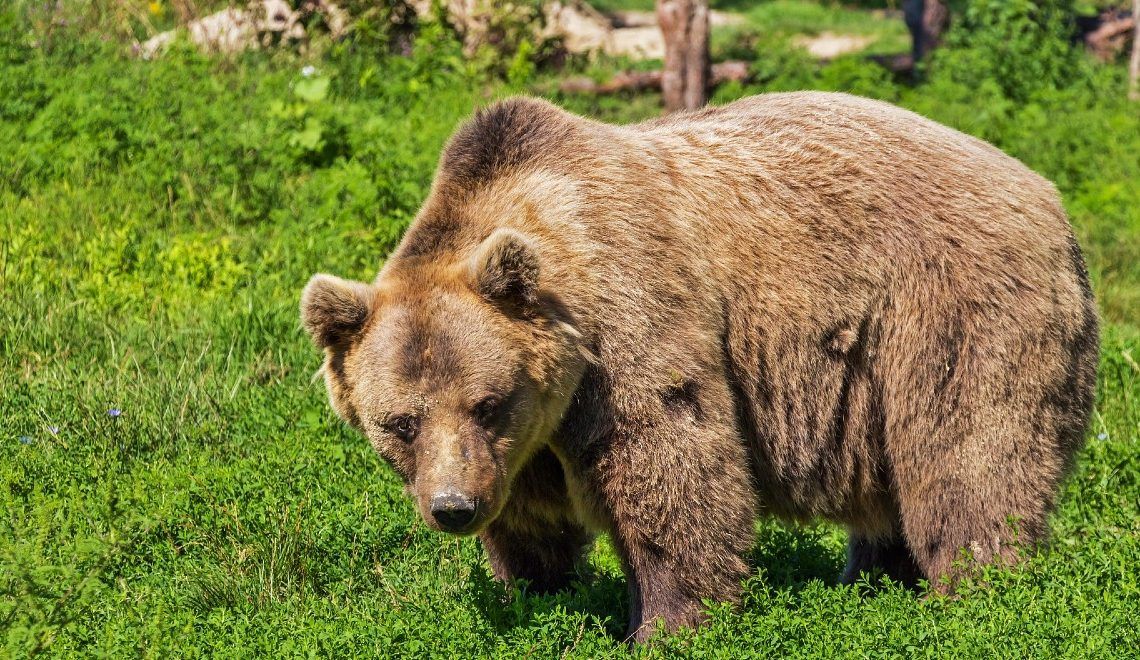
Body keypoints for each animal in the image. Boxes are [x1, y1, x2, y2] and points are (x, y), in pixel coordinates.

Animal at [298, 91, 1098, 638]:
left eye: (487, 402)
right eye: (399, 422)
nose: (453, 507)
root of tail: (1049, 195)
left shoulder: (628, 323)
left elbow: (672, 464)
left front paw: (666, 623)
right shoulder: (524, 445)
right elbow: (530, 520)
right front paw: (536, 592)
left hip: (949, 310)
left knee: (968, 456)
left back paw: (978, 593)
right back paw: (872, 581)